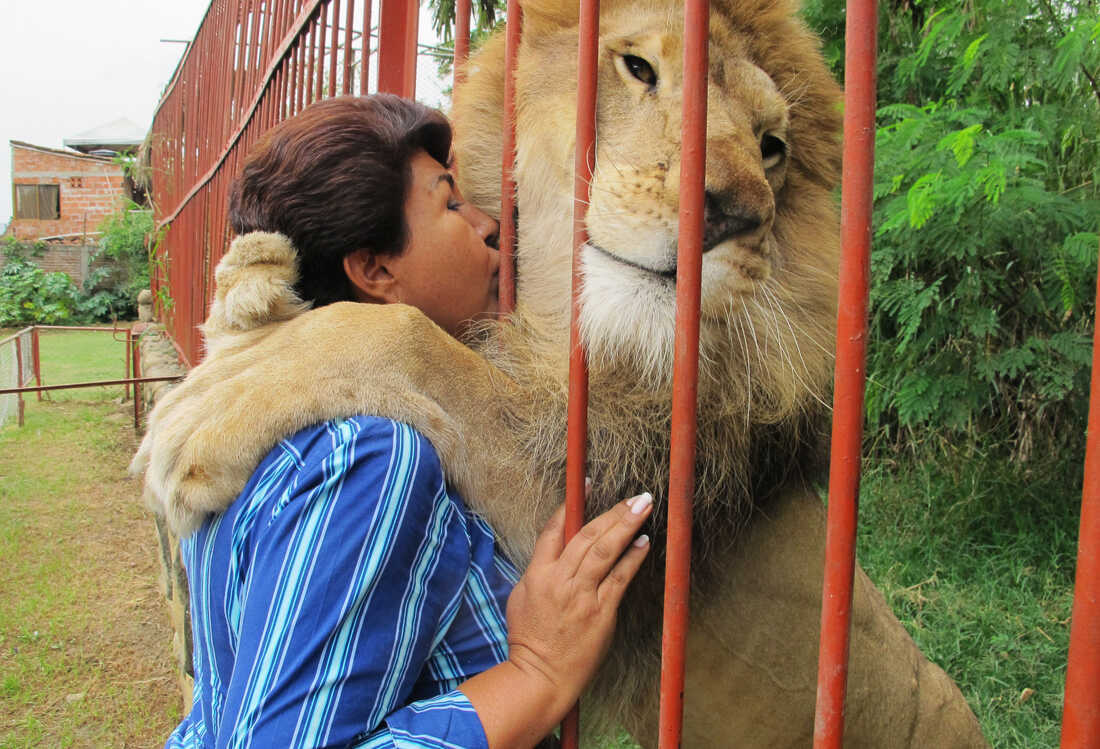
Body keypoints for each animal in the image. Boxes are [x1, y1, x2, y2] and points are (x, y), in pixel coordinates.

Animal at [133, 0, 994, 743]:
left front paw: (213, 397)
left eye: (772, 147)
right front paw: (248, 278)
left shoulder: (590, 487)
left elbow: (416, 344)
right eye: (639, 68)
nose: (733, 213)